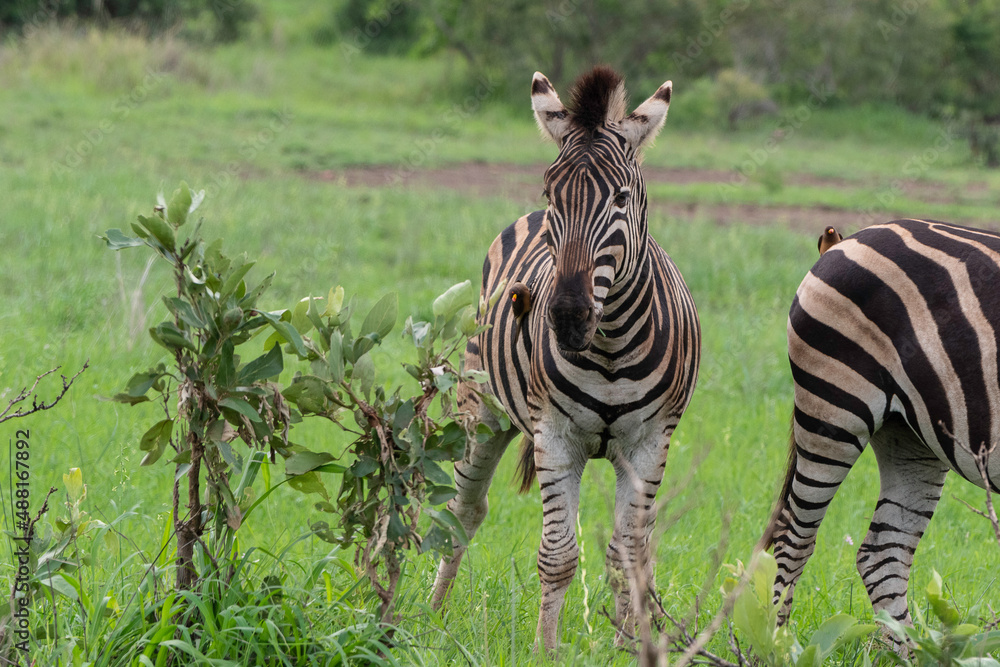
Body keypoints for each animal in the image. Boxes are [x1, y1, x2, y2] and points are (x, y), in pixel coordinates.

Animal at [430, 66, 701, 652]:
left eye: (621, 197)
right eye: (552, 192)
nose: (568, 317)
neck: (612, 345)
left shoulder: (650, 445)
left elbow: (627, 556)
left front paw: (627, 648)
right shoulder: (554, 437)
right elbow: (557, 556)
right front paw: (545, 648)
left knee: (641, 541)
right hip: (482, 409)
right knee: (462, 512)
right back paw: (428, 617)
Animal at [758, 218, 1000, 636]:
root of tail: (846, 241)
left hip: (910, 435)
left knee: (883, 552)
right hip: (835, 407)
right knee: (793, 538)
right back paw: (774, 644)